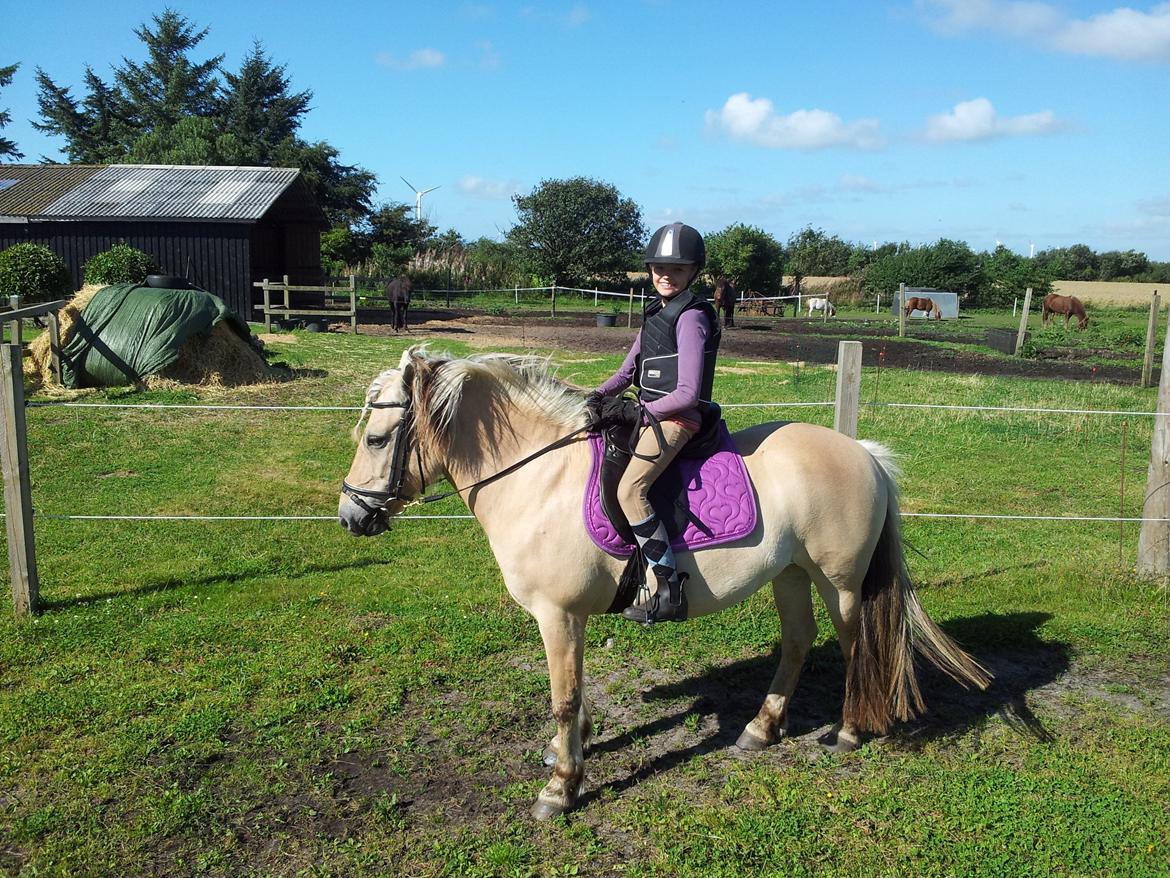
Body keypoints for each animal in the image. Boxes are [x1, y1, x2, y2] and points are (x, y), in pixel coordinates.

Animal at [336, 346, 987, 824]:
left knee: (855, 645)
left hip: (840, 582)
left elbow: (564, 696)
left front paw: (561, 787)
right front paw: (571, 749)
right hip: (791, 574)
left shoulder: (557, 613)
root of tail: (864, 453)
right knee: (799, 642)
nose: (350, 517)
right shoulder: (572, 618)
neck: (539, 477)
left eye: (376, 439)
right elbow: (577, 692)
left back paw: (848, 732)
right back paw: (760, 729)